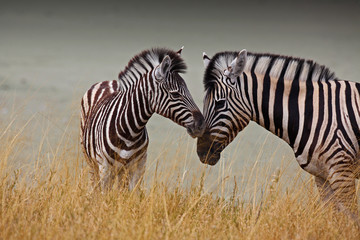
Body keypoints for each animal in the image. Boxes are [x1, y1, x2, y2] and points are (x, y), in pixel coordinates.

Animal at [81, 47, 205, 191]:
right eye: (175, 94)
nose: (202, 124)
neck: (129, 132)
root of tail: (108, 81)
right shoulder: (105, 168)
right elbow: (104, 194)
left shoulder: (139, 167)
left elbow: (131, 194)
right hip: (92, 162)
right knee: (94, 185)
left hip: (121, 171)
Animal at [195, 49, 360, 221]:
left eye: (220, 103)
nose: (201, 152)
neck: (311, 112)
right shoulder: (322, 175)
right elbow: (333, 219)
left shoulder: (342, 171)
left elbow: (352, 218)